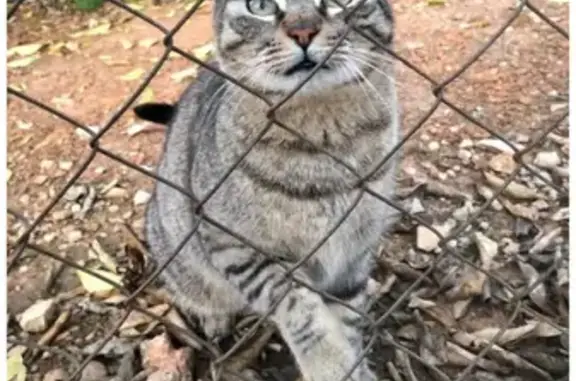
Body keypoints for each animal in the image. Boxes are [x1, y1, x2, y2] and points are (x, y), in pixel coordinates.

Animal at [141, 0, 398, 378]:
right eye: (259, 6)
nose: (303, 30)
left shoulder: (353, 255)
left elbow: (349, 320)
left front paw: (357, 367)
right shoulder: (236, 246)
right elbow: (300, 312)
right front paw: (331, 366)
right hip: (176, 248)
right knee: (194, 290)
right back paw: (214, 318)